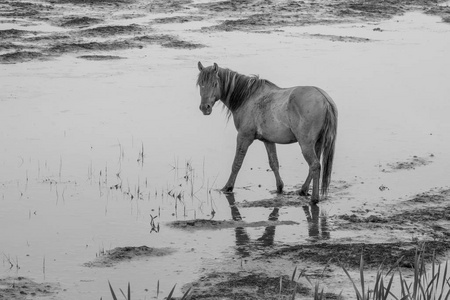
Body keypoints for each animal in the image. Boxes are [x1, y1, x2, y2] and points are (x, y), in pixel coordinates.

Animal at [195, 61, 336, 203]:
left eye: (215, 83)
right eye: (201, 83)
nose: (204, 107)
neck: (247, 98)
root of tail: (324, 99)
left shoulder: (244, 137)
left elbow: (236, 163)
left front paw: (228, 187)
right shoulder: (268, 140)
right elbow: (274, 163)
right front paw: (279, 187)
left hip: (306, 144)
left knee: (315, 165)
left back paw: (314, 198)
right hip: (317, 143)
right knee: (313, 166)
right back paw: (303, 190)